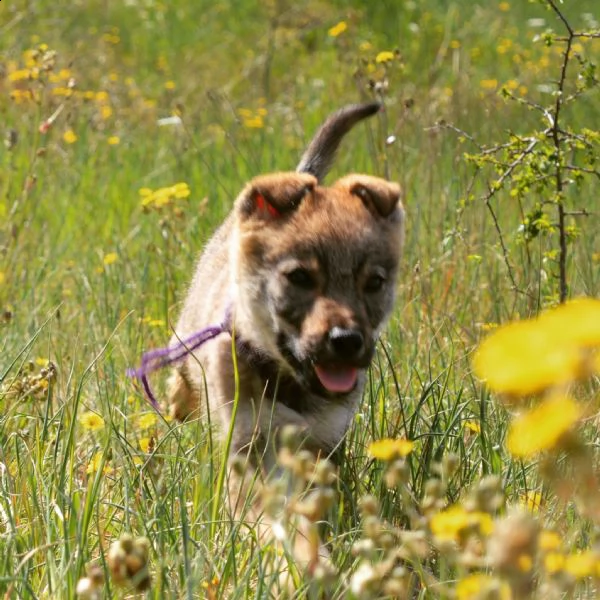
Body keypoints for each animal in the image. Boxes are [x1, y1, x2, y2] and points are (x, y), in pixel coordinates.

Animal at [166, 104, 406, 568]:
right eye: (300, 277)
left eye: (373, 283)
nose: (346, 341)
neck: (290, 385)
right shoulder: (249, 449)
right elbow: (271, 521)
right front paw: (292, 564)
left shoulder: (321, 448)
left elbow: (307, 515)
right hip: (186, 342)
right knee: (178, 378)